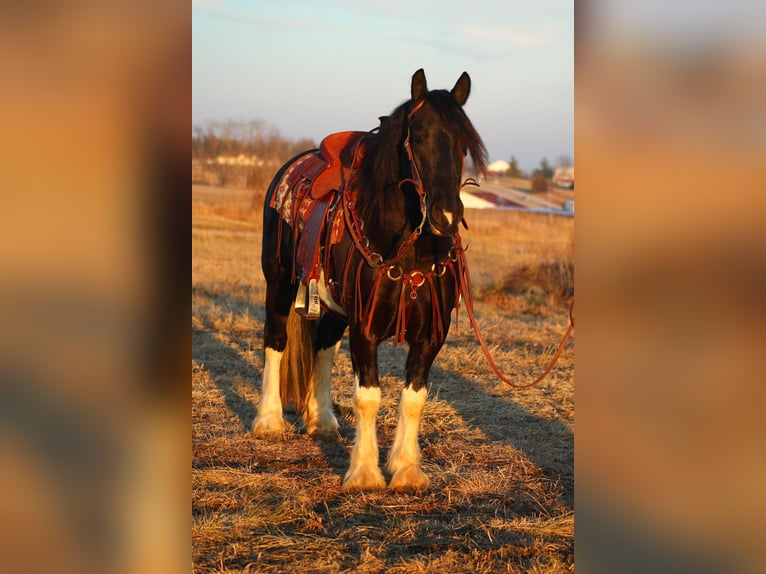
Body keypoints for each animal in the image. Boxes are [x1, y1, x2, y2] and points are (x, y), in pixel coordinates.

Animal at [255, 68, 488, 490]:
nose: (446, 216)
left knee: (323, 348)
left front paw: (407, 469)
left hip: (333, 305)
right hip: (279, 283)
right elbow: (369, 397)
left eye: (464, 144)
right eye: (418, 137)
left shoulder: (431, 334)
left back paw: (322, 420)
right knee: (275, 342)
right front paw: (364, 472)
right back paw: (268, 420)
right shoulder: (366, 327)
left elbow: (413, 400)